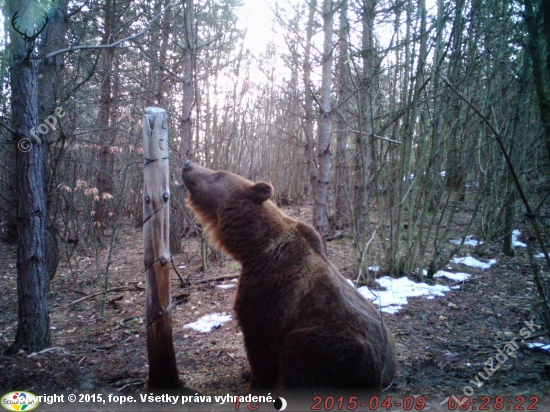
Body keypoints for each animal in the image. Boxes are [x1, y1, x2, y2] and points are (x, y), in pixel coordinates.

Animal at [183, 161, 398, 392]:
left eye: (217, 175)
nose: (188, 164)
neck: (254, 248)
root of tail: (386, 378)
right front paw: (246, 373)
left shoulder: (271, 292)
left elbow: (260, 341)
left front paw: (256, 381)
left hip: (336, 348)